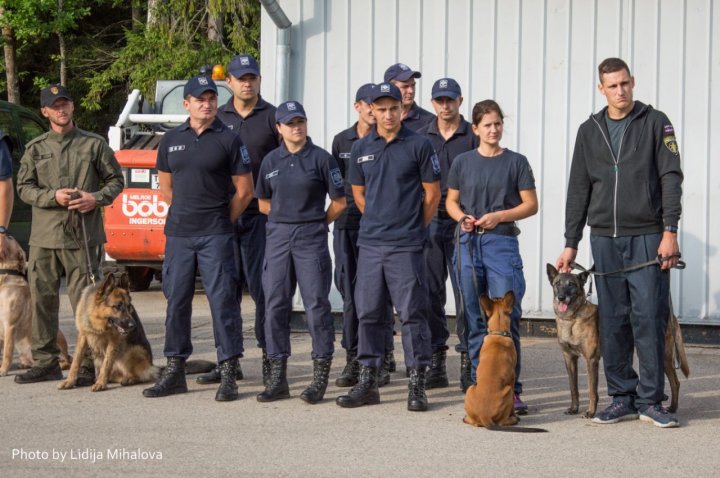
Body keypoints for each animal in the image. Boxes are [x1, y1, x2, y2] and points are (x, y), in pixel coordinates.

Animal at [0, 237, 72, 376]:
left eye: (10, 238)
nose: (4, 233)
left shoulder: (9, 325)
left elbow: (7, 352)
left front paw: (3, 370)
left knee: (64, 362)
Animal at [466, 292, 544, 434]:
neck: (498, 333)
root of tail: (484, 416)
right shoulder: (512, 378)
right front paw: (514, 414)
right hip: (507, 391)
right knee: (502, 421)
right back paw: (513, 419)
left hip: (470, 388)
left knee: (474, 422)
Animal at [544, 264, 692, 416]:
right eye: (557, 284)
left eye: (571, 284)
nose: (561, 298)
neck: (572, 318)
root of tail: (671, 314)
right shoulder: (569, 358)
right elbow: (573, 388)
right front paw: (574, 408)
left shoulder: (591, 360)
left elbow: (592, 390)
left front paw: (591, 411)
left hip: (663, 356)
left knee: (675, 382)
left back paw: (671, 408)